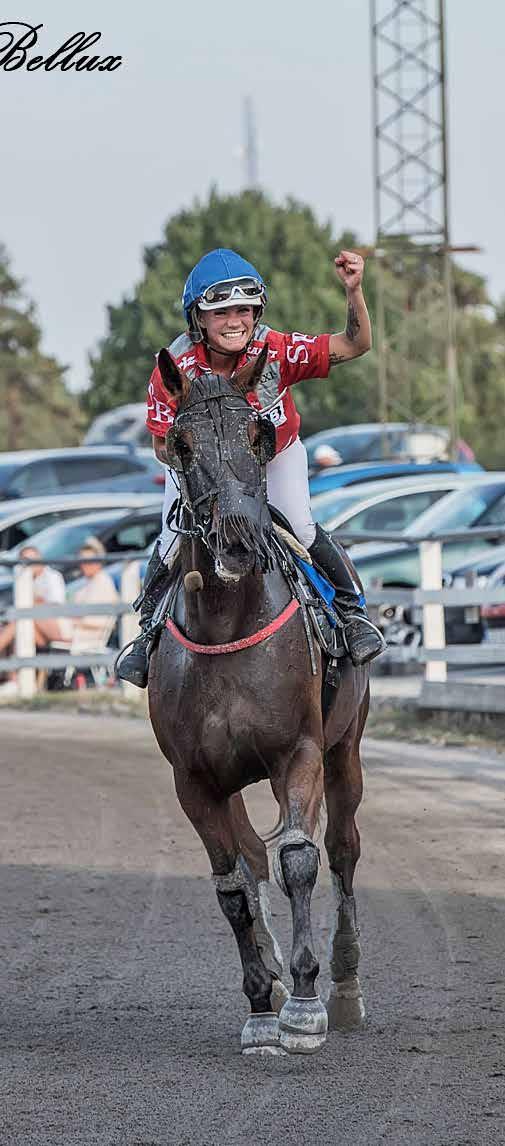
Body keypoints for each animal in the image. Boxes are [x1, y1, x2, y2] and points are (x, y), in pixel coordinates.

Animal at [147, 346, 368, 1054]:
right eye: (183, 442)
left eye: (255, 434)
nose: (240, 539)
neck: (227, 623)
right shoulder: (194, 780)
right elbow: (233, 888)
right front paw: (261, 1002)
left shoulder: (297, 752)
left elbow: (299, 860)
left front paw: (302, 1002)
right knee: (249, 859)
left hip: (345, 749)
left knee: (343, 848)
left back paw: (345, 986)